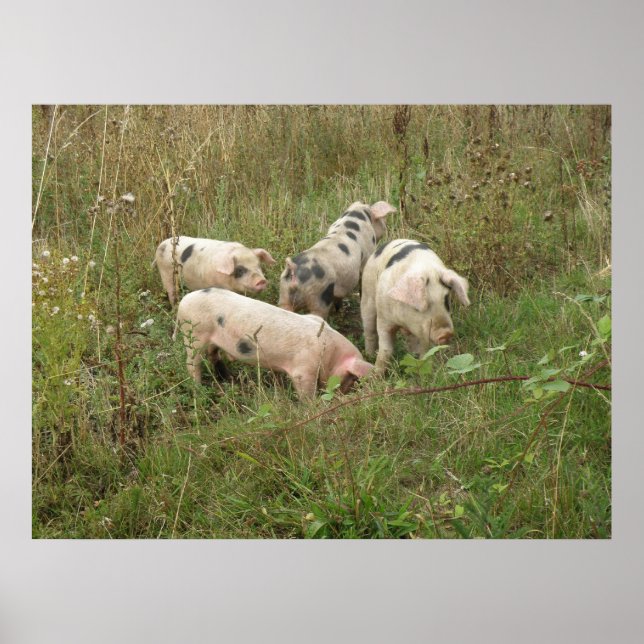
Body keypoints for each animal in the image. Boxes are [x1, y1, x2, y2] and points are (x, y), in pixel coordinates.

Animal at [175, 287, 373, 399]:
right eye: (351, 377)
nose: (343, 394)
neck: (330, 352)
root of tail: (183, 301)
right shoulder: (304, 369)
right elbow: (306, 392)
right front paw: (312, 407)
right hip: (194, 335)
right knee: (192, 363)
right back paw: (199, 388)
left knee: (213, 354)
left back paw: (227, 378)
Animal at [360, 239, 470, 373]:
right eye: (419, 307)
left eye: (446, 300)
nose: (446, 333)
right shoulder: (384, 319)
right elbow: (385, 350)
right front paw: (375, 374)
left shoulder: (423, 332)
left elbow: (425, 352)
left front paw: (424, 371)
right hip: (367, 294)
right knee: (369, 330)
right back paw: (369, 355)